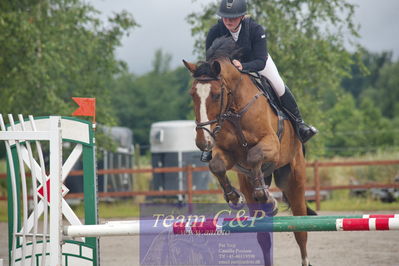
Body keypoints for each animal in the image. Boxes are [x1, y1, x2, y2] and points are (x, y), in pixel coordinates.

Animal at [183, 35, 318, 266]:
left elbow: (254, 155)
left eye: (216, 95)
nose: (203, 142)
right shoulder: (228, 154)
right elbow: (216, 165)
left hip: (295, 179)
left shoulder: (271, 145)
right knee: (263, 233)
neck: (235, 109)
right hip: (248, 181)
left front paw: (266, 197)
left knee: (301, 231)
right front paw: (234, 198)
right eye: (193, 94)